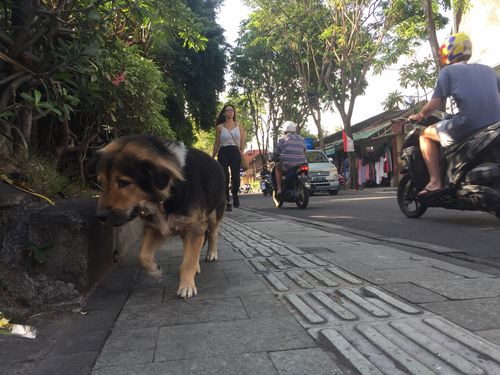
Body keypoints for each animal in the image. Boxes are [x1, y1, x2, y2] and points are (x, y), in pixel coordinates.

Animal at [93, 135, 226, 300]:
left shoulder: (194, 226)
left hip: (213, 214)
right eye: (102, 183)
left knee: (212, 234)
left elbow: (188, 261)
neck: (170, 190)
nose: (100, 216)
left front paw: (187, 286)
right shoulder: (156, 227)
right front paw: (155, 271)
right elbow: (143, 256)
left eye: (124, 183)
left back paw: (211, 254)